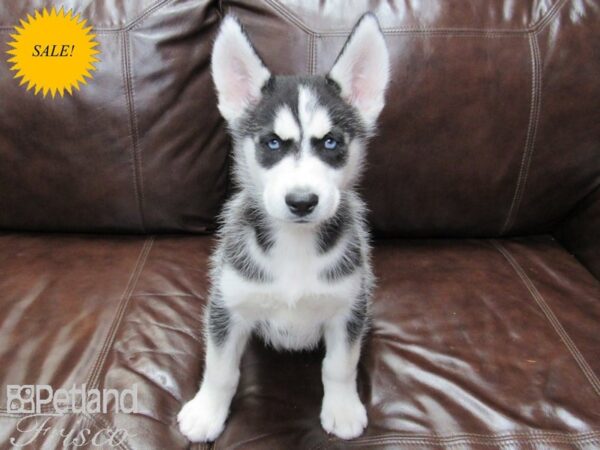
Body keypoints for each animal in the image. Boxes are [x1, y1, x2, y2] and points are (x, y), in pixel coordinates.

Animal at [177, 12, 390, 442]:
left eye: (331, 143)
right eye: (272, 143)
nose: (302, 201)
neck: (295, 245)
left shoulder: (347, 309)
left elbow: (339, 366)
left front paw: (342, 408)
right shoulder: (227, 307)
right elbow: (221, 369)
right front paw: (207, 411)